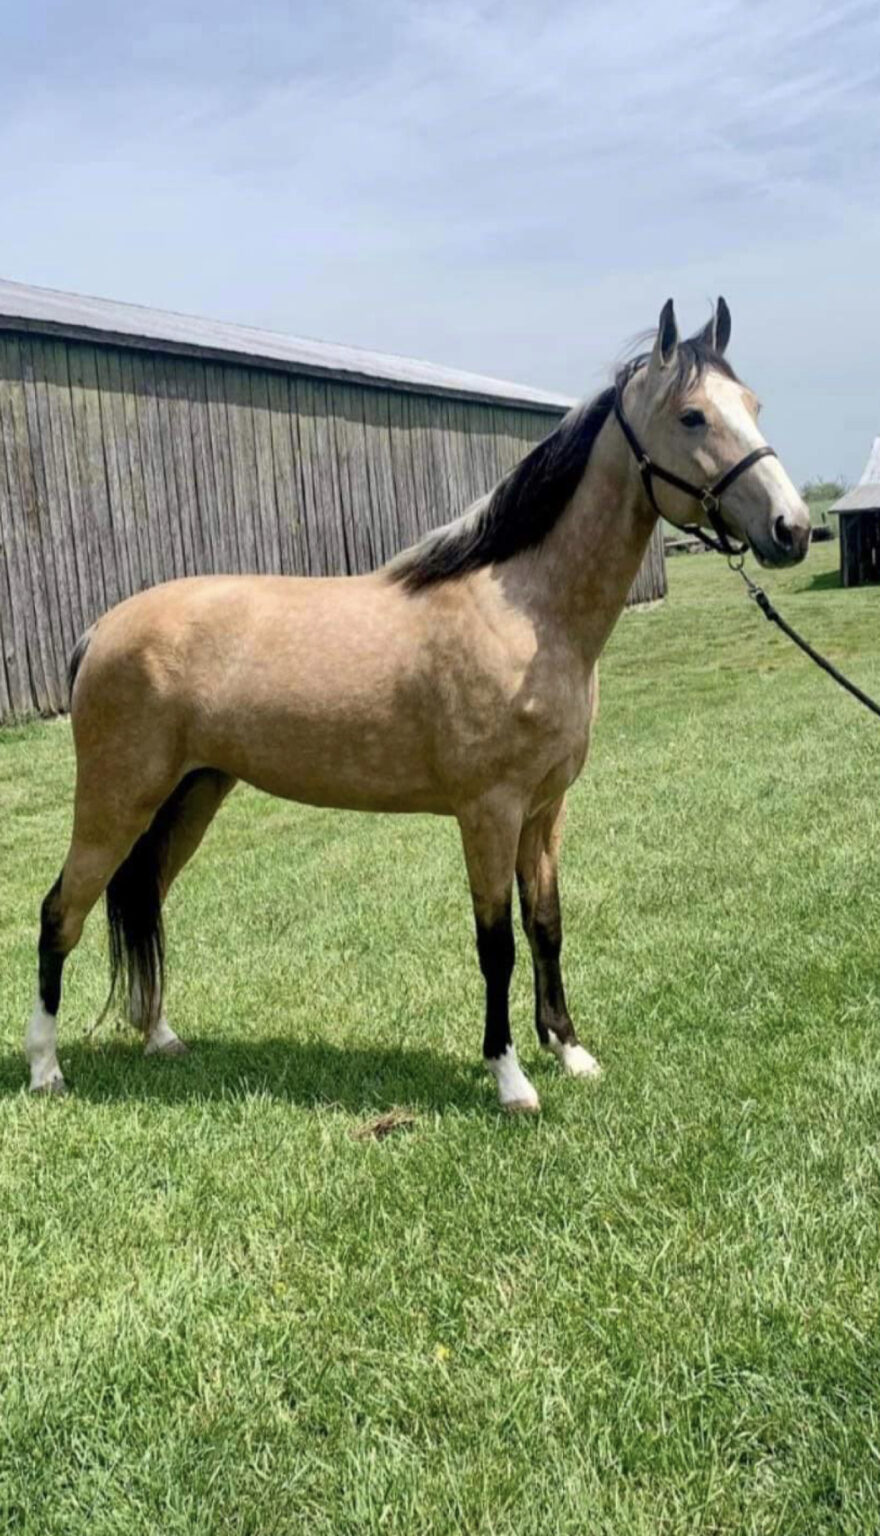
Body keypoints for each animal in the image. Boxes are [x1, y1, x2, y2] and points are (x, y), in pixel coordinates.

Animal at [25, 299, 810, 1112]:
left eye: (751, 405)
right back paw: (46, 1069)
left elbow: (546, 925)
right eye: (693, 416)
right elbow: (496, 943)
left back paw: (160, 1037)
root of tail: (100, 631)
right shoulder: (489, 811)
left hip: (190, 797)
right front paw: (510, 1078)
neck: (525, 610)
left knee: (143, 898)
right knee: (60, 912)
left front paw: (570, 1051)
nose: (793, 528)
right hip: (116, 801)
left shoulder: (544, 811)